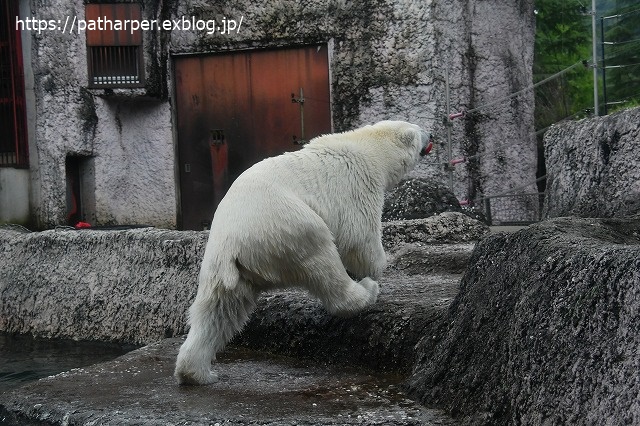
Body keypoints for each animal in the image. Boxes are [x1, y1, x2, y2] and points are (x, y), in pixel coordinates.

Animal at [175, 120, 430, 386]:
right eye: (417, 129)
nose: (430, 135)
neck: (368, 147)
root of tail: (233, 244)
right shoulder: (357, 185)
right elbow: (360, 238)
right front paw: (378, 266)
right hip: (292, 228)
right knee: (324, 263)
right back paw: (366, 291)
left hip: (222, 266)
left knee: (218, 310)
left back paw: (197, 373)